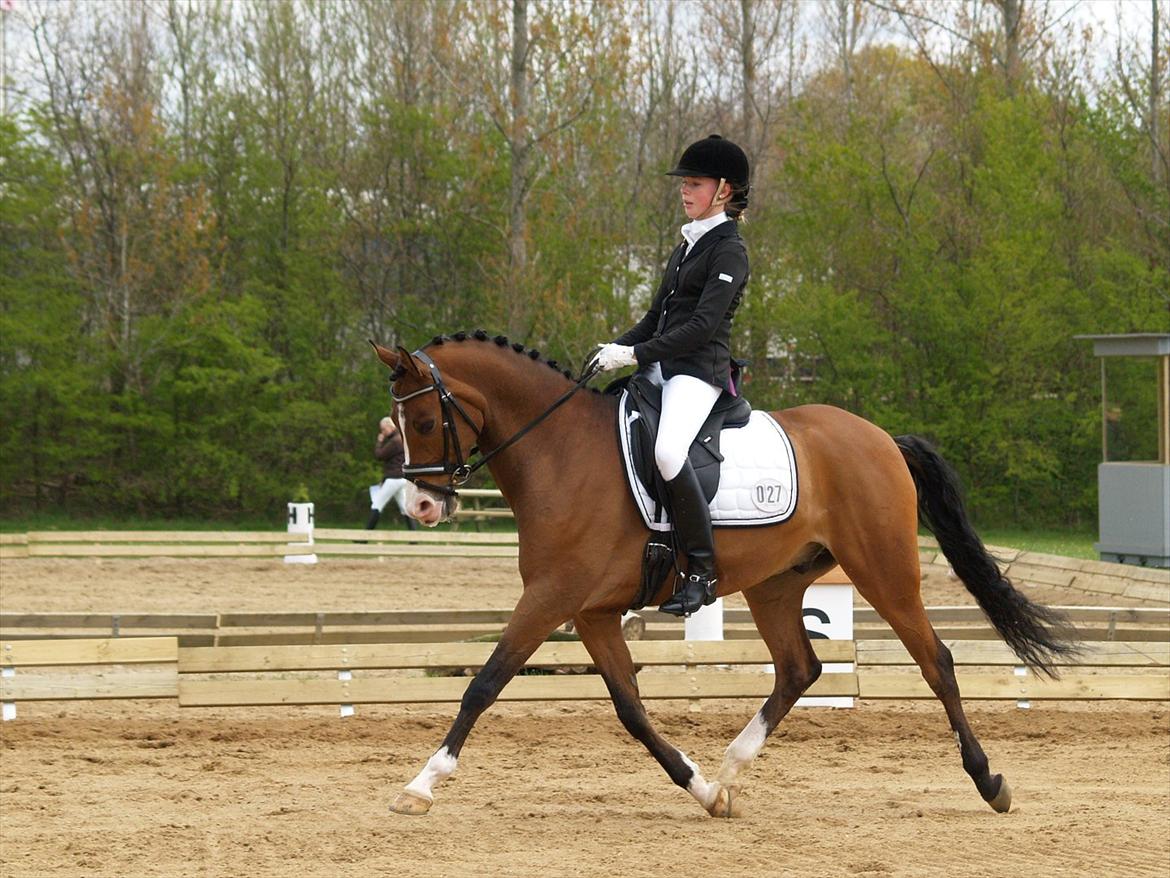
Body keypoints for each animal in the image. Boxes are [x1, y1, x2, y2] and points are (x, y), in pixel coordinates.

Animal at [372, 330, 1075, 819]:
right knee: (800, 668)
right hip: (776, 584)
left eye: (426, 421)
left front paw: (419, 786)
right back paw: (731, 769)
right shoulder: (591, 612)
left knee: (937, 661)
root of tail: (880, 437)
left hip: (884, 570)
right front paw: (704, 791)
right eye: (397, 426)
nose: (423, 506)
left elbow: (483, 684)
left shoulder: (551, 598)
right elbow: (631, 710)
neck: (559, 452)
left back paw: (989, 781)